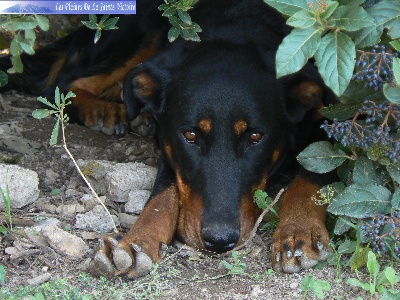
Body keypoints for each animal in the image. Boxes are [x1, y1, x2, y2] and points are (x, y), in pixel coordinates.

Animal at [1, 0, 336, 278]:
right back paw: (103, 109)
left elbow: (315, 171)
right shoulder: (170, 143)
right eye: (190, 135)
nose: (219, 240)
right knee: (63, 83)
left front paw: (298, 229)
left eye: (255, 136)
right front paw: (137, 241)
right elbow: (163, 193)